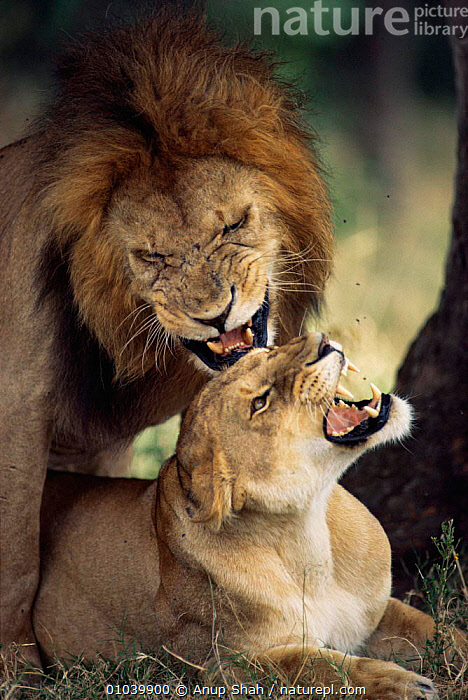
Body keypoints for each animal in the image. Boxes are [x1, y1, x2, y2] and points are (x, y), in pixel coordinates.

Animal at [0, 11, 333, 665]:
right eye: (153, 257)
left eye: (233, 224)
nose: (215, 315)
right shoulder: (16, 405)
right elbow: (16, 560)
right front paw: (19, 669)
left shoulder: (94, 444)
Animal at [31, 333, 467, 698]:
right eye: (260, 402)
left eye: (267, 353)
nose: (322, 341)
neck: (306, 533)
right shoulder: (221, 667)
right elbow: (316, 665)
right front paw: (400, 683)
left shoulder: (374, 613)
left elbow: (434, 627)